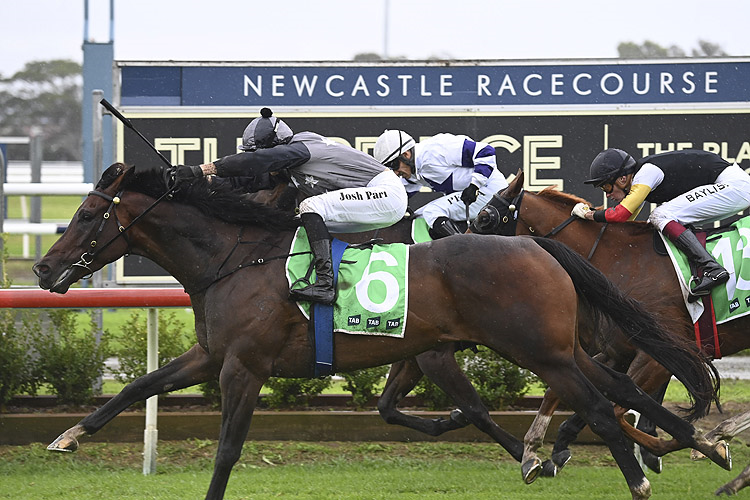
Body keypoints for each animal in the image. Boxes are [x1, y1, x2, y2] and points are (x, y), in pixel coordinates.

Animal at [32, 164, 732, 500]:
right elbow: (138, 386)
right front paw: (68, 436)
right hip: (559, 348)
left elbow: (228, 449)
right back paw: (701, 445)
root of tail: (537, 245)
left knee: (603, 407)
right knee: (623, 391)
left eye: (88, 214)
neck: (236, 257)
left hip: (541, 350)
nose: (42, 268)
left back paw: (638, 476)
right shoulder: (211, 356)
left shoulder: (244, 367)